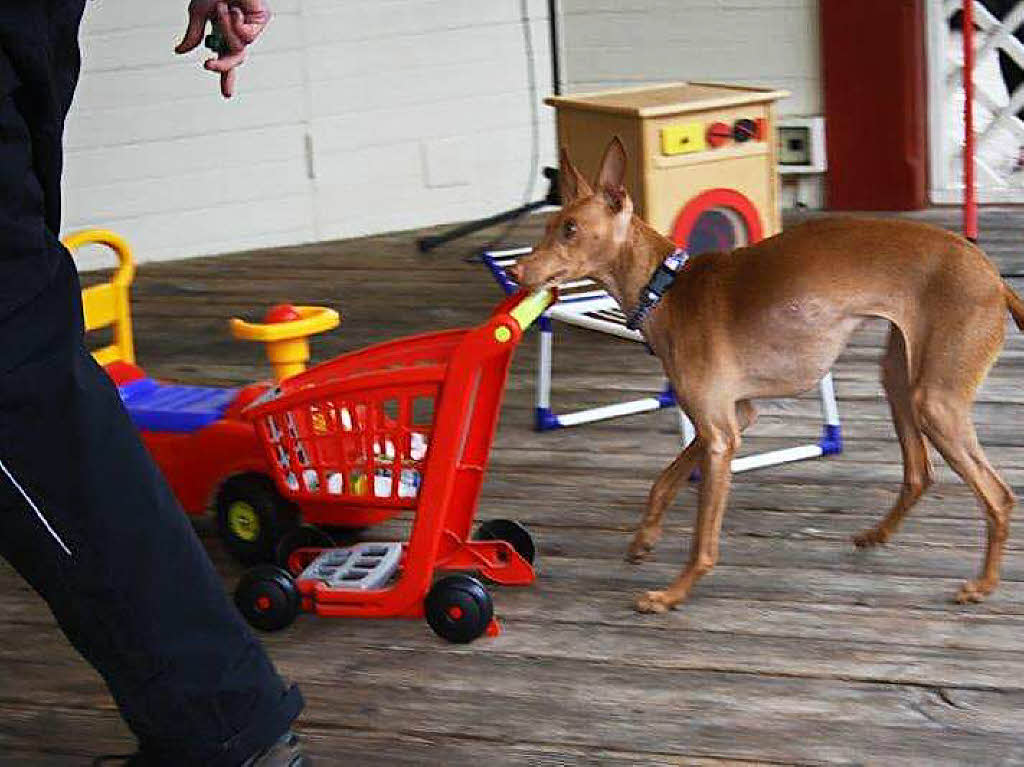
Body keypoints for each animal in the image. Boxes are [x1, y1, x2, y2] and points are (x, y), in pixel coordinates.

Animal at [512, 137, 1024, 614]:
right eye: (548, 226)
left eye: (571, 229)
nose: (517, 270)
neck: (667, 288)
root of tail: (995, 279)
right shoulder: (732, 418)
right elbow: (662, 481)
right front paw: (643, 540)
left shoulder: (721, 437)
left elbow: (702, 540)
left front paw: (672, 593)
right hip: (899, 379)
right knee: (919, 473)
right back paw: (876, 534)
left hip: (934, 402)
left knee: (999, 496)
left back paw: (982, 585)